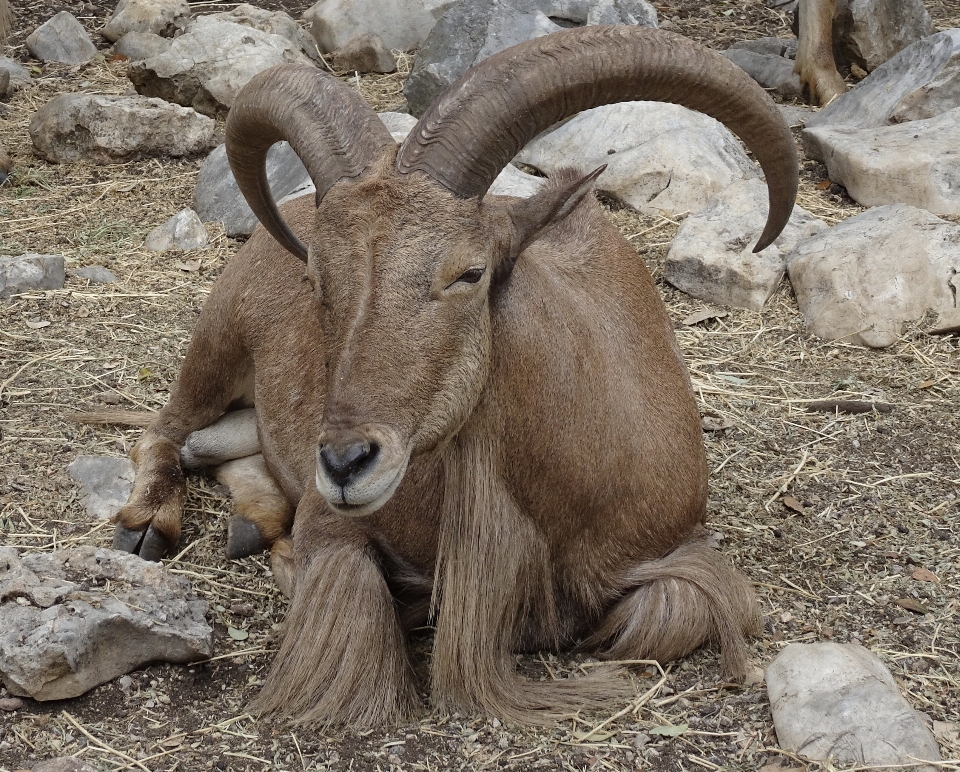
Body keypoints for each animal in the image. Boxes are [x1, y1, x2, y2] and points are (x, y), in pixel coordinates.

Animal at [101, 27, 800, 728]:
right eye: (318, 279)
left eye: (469, 273)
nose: (346, 463)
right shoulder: (334, 522)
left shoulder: (682, 543)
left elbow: (665, 615)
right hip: (219, 337)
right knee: (166, 429)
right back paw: (149, 526)